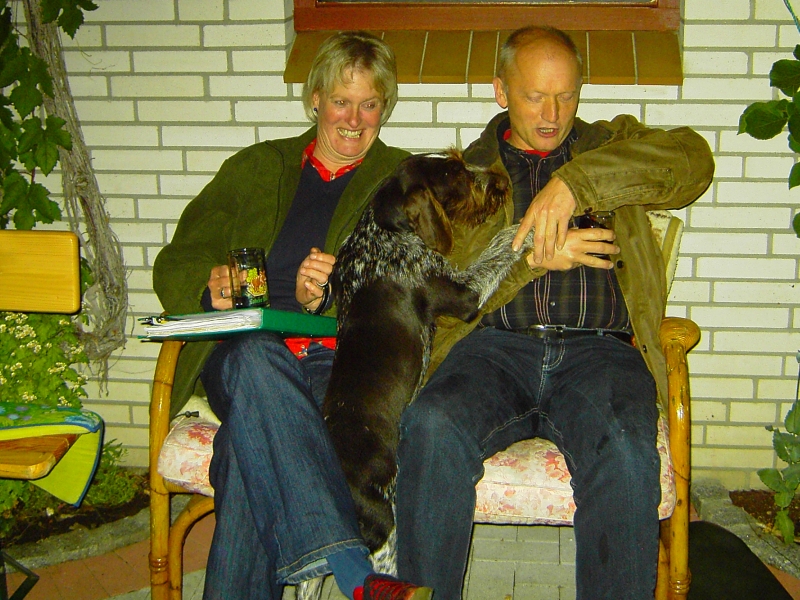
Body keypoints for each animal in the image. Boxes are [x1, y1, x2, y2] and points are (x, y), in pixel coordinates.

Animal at [296, 150, 533, 599]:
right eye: (455, 173)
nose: (498, 180)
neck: (382, 231)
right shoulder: (464, 293)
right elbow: (497, 250)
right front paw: (524, 228)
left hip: (322, 564)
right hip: (386, 537)